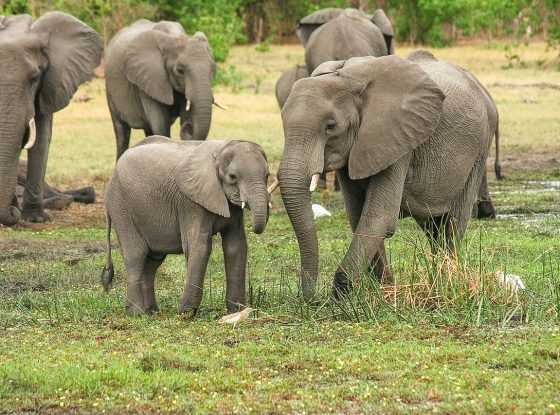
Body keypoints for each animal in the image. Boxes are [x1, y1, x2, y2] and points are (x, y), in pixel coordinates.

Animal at [103, 136, 276, 316]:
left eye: (267, 175)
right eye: (232, 176)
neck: (221, 149)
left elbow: (236, 246)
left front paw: (236, 311)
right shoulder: (190, 202)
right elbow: (200, 246)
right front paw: (186, 314)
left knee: (152, 261)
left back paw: (152, 312)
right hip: (121, 207)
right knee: (136, 255)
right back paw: (136, 313)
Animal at [105, 19, 221, 160]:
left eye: (213, 69)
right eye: (180, 71)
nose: (188, 127)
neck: (173, 37)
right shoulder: (148, 80)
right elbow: (160, 125)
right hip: (110, 90)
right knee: (121, 131)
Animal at [278, 50, 498, 300]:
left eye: (330, 126)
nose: (310, 298)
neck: (346, 79)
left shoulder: (398, 139)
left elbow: (379, 216)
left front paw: (341, 297)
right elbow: (358, 215)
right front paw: (384, 289)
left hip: (480, 148)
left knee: (453, 222)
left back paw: (446, 282)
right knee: (433, 226)